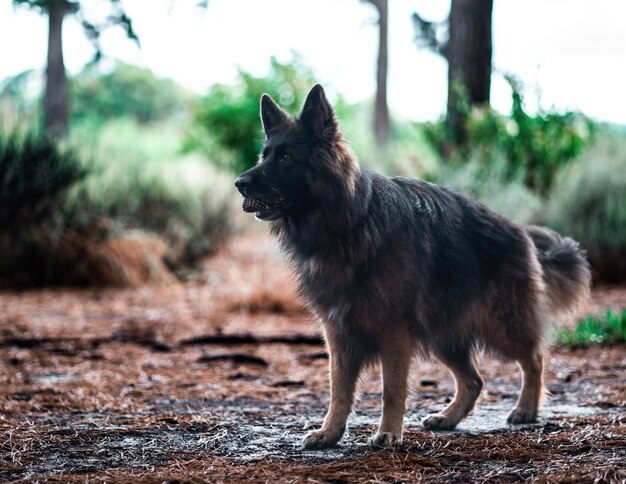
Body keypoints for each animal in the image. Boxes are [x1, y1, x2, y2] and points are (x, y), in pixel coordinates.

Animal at [234, 84, 588, 450]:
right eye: (264, 156)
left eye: (287, 158)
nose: (239, 183)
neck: (350, 223)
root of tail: (521, 231)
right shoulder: (338, 331)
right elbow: (339, 389)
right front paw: (330, 432)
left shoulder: (394, 331)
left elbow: (391, 388)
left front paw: (388, 432)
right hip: (443, 333)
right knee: (474, 380)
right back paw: (449, 417)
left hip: (501, 324)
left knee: (534, 359)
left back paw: (526, 409)